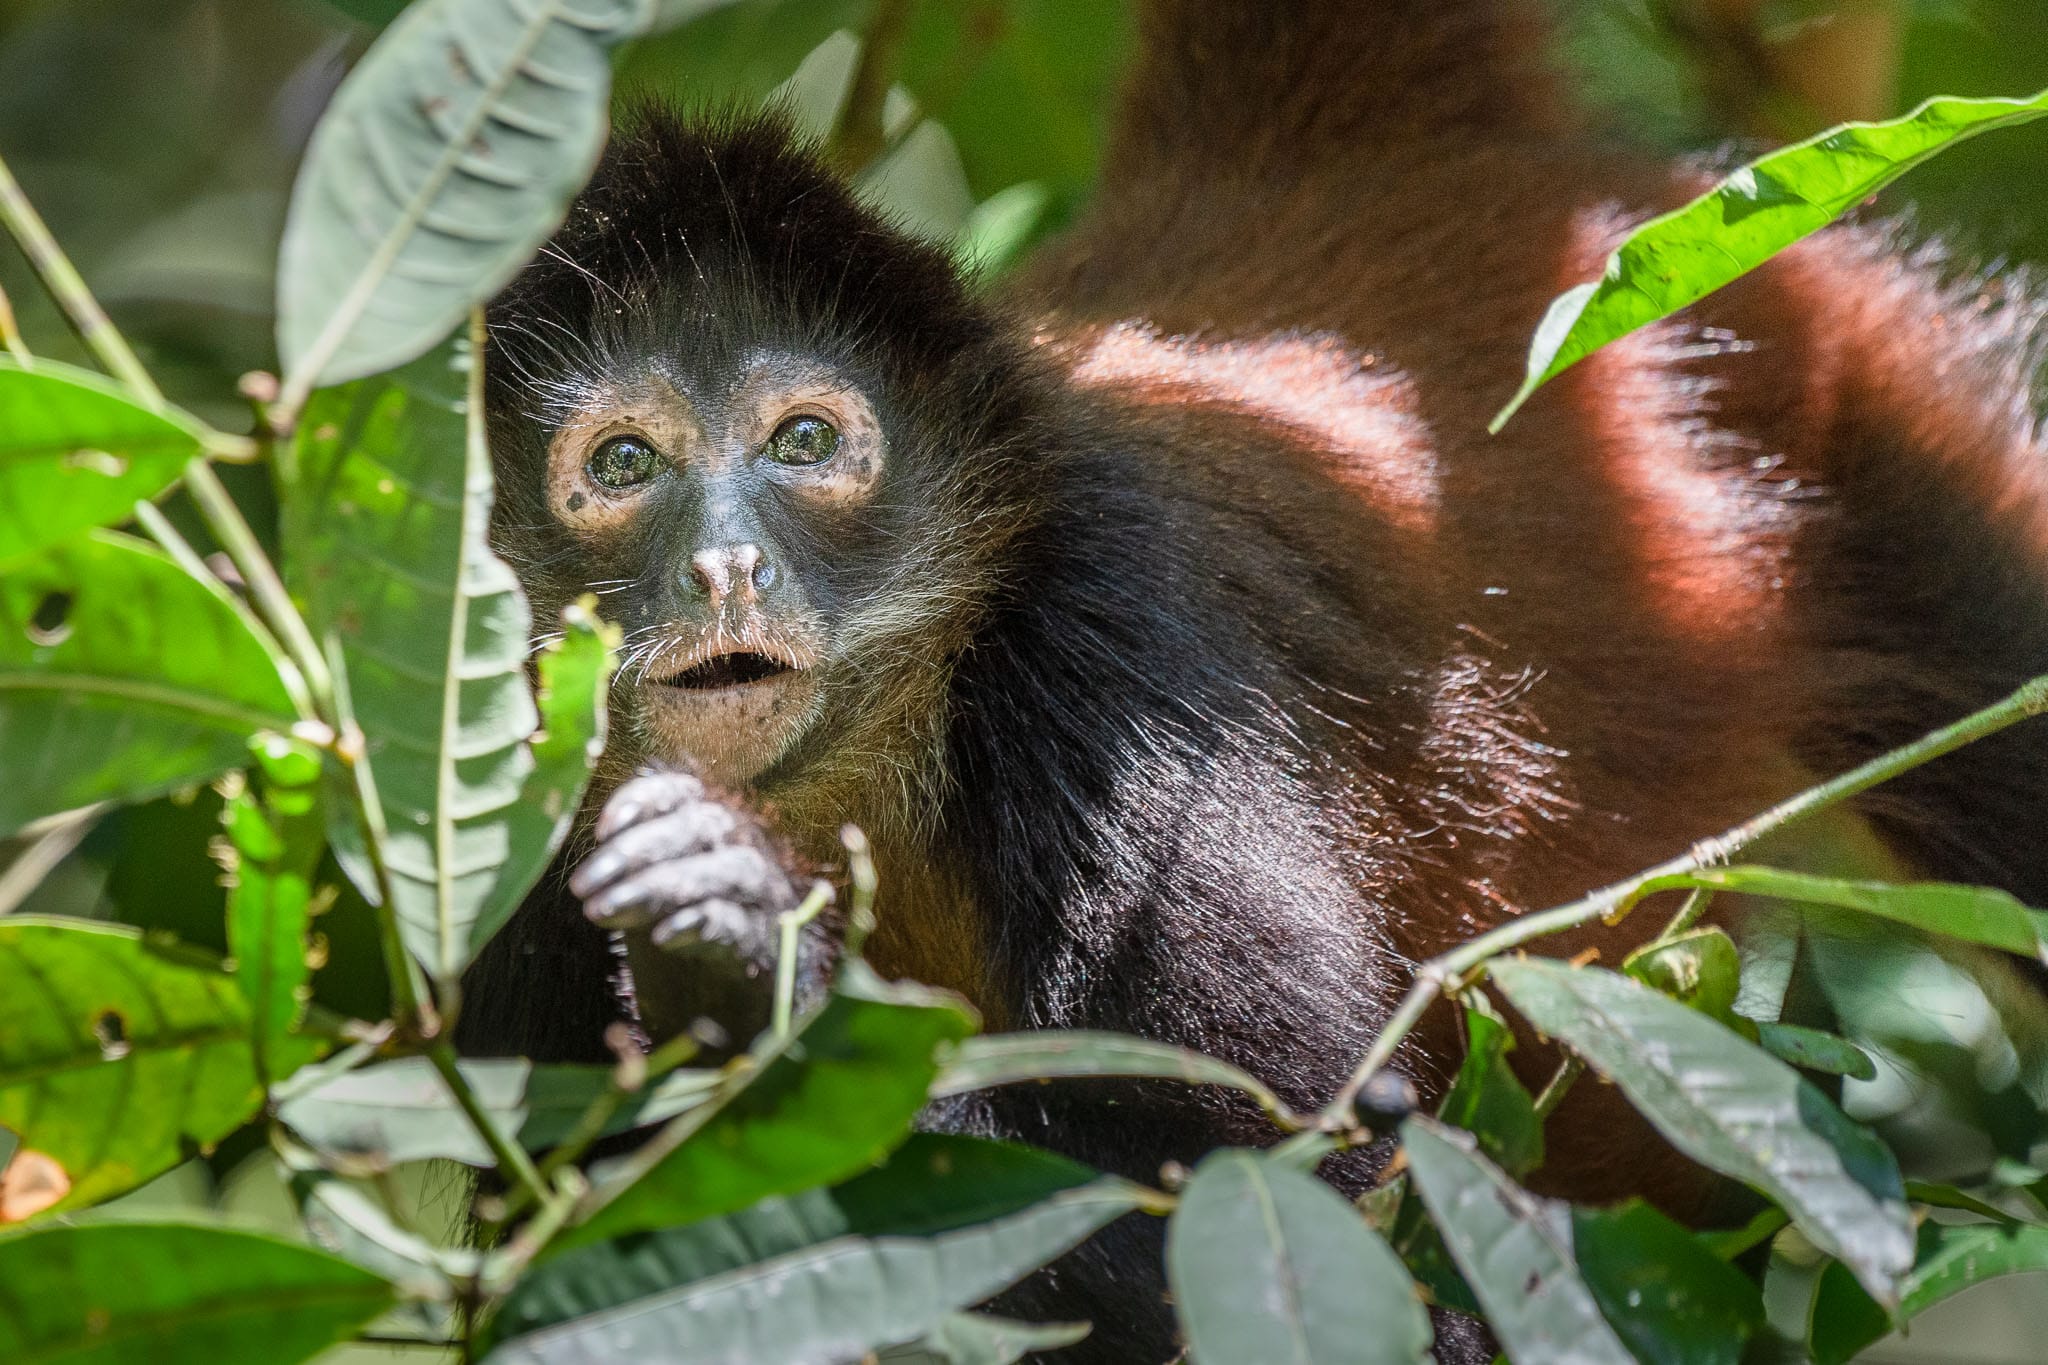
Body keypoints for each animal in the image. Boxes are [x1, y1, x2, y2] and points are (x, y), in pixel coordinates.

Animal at [464, 1, 2048, 1359]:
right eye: (623, 466)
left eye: (803, 442)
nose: (726, 567)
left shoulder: (1110, 650)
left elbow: (1335, 1217)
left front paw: (745, 960)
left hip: (1842, 388)